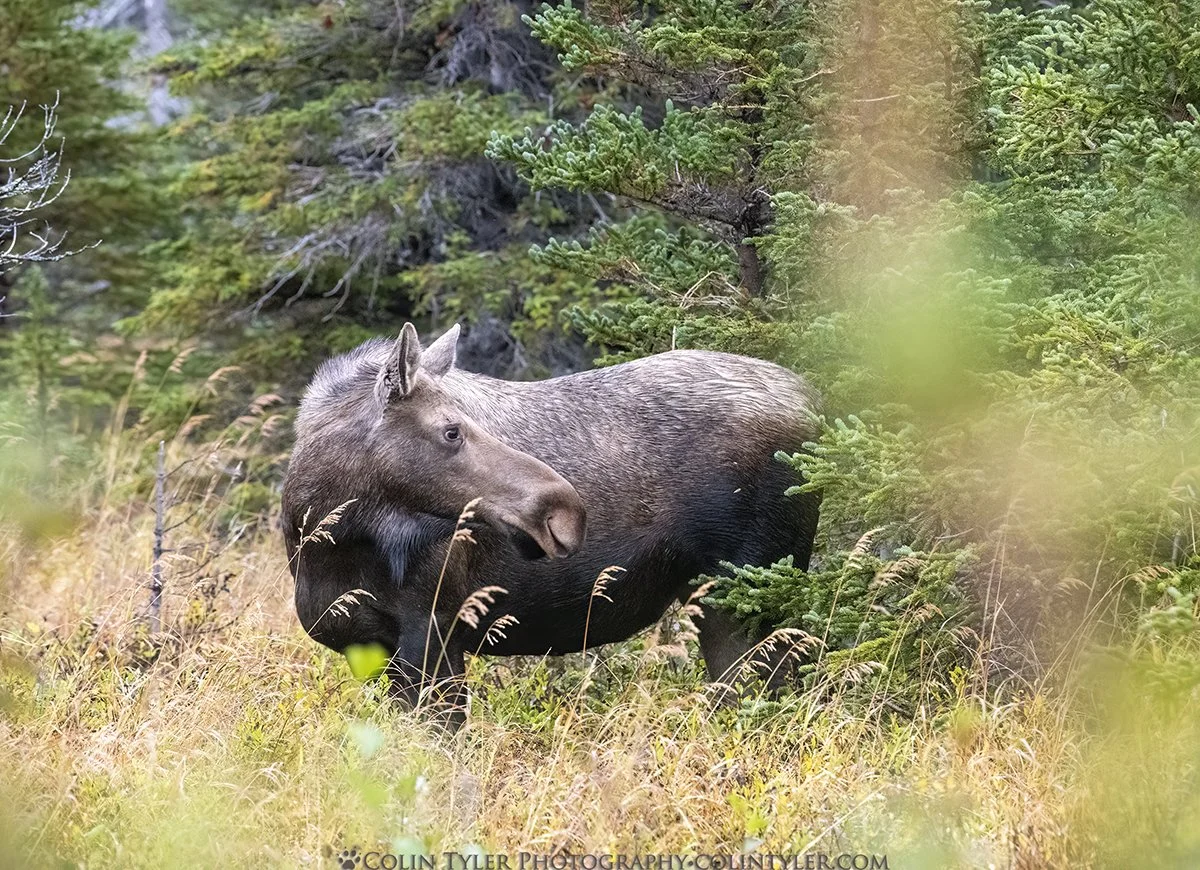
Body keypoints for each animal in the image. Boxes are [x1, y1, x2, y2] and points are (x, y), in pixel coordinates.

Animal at [282, 323, 821, 718]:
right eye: (452, 430)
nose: (565, 510)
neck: (327, 539)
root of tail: (815, 403)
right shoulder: (371, 645)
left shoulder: (433, 632)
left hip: (746, 589)